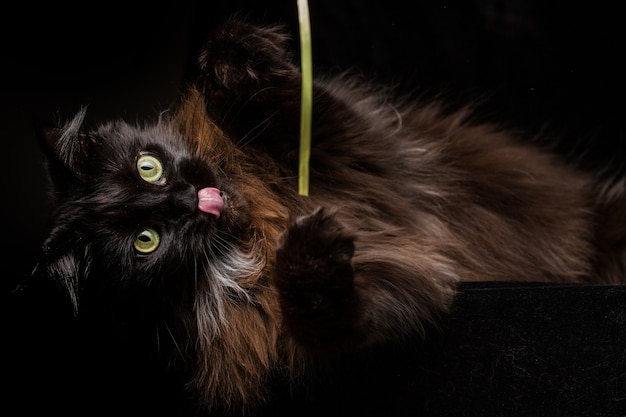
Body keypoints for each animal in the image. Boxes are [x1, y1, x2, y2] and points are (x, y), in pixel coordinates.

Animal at [33, 17, 624, 412]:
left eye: (148, 167)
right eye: (146, 240)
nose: (184, 197)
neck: (261, 222)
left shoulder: (350, 145)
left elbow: (295, 105)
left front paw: (233, 54)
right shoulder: (378, 291)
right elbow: (326, 308)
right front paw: (312, 251)